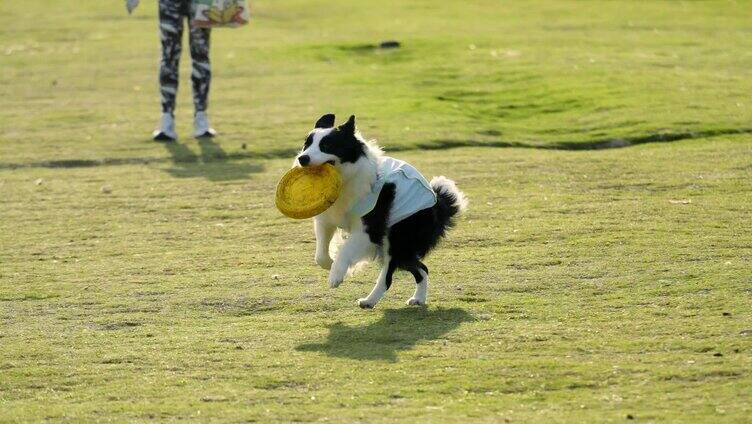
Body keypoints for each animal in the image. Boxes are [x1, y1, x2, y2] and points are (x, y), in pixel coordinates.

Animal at [294, 114, 464, 310]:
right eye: (306, 144)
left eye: (326, 145)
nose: (302, 158)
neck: (346, 178)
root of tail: (438, 203)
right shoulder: (326, 220)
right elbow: (320, 255)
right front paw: (331, 264)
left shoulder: (369, 230)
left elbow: (345, 250)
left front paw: (336, 275)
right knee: (421, 268)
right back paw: (418, 298)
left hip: (398, 237)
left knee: (389, 276)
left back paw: (369, 300)